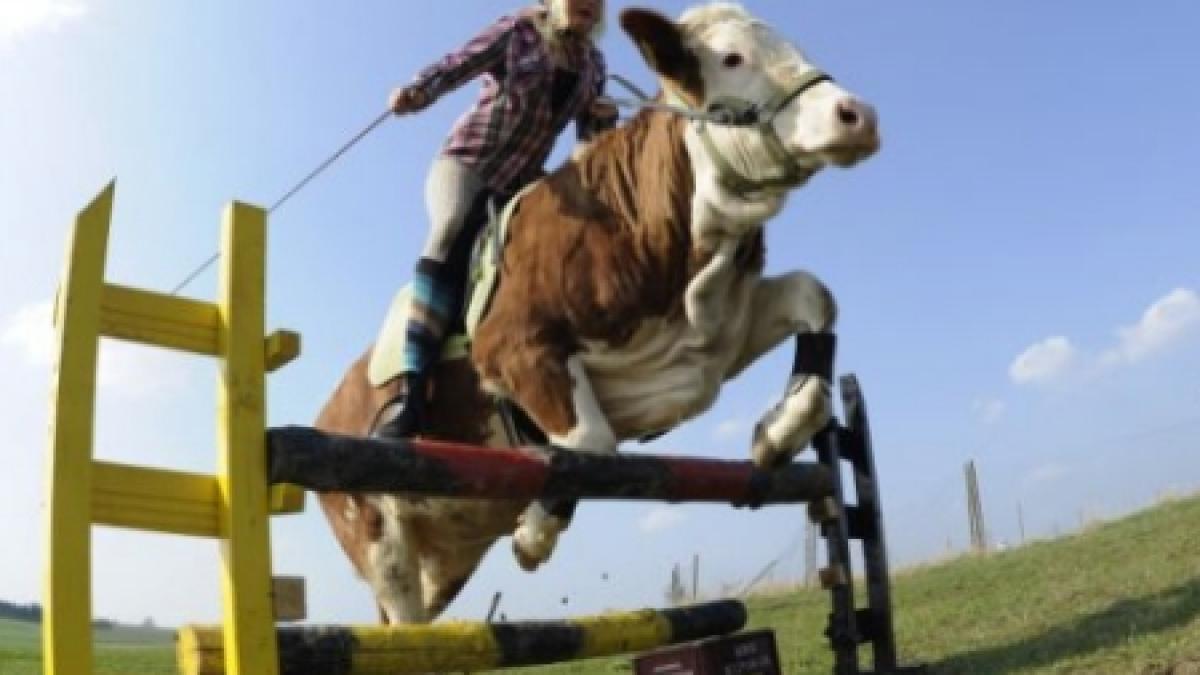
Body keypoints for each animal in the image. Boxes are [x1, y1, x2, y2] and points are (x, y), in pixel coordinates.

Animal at [316, 2, 879, 624]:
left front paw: (778, 432)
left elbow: (814, 298)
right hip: (379, 538)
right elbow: (590, 442)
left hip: (445, 559)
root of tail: (327, 409)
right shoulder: (512, 348)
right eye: (732, 57)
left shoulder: (711, 336)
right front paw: (533, 534)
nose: (858, 115)